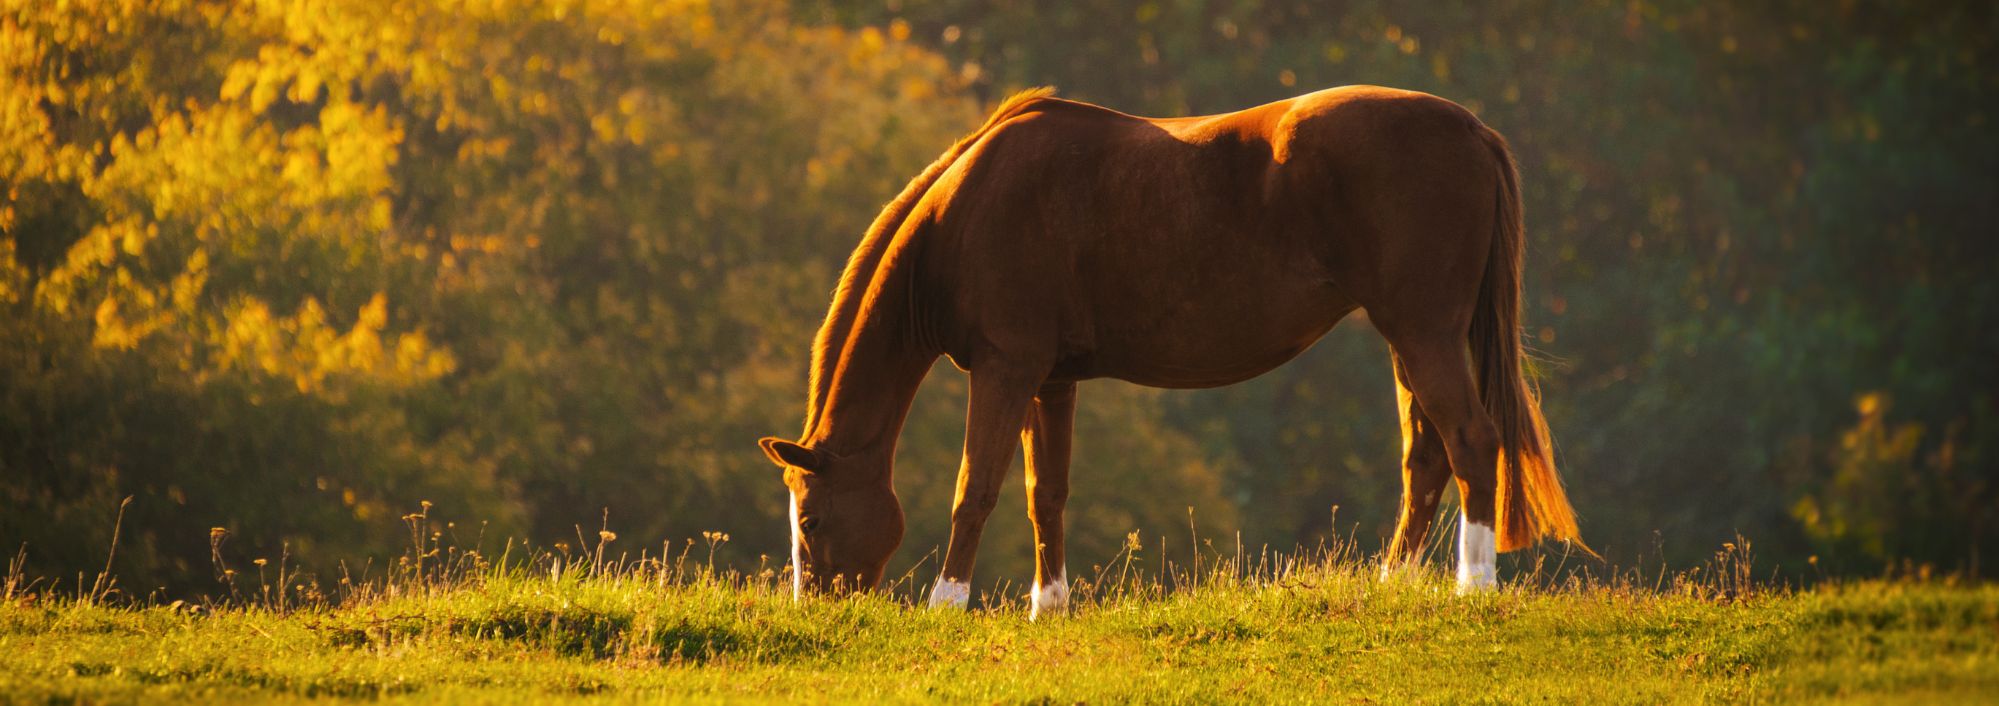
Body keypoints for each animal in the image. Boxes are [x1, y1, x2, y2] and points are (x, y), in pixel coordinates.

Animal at [758, 85, 1583, 618]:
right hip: (1409, 336)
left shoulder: (1004, 368)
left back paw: (1473, 586)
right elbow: (1044, 494)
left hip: (1423, 329)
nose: (819, 611)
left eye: (810, 522)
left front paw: (944, 604)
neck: (966, 211)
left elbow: (976, 490)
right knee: (1427, 457)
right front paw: (1048, 608)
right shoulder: (1050, 380)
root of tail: (1470, 129)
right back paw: (1393, 583)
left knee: (1471, 440)